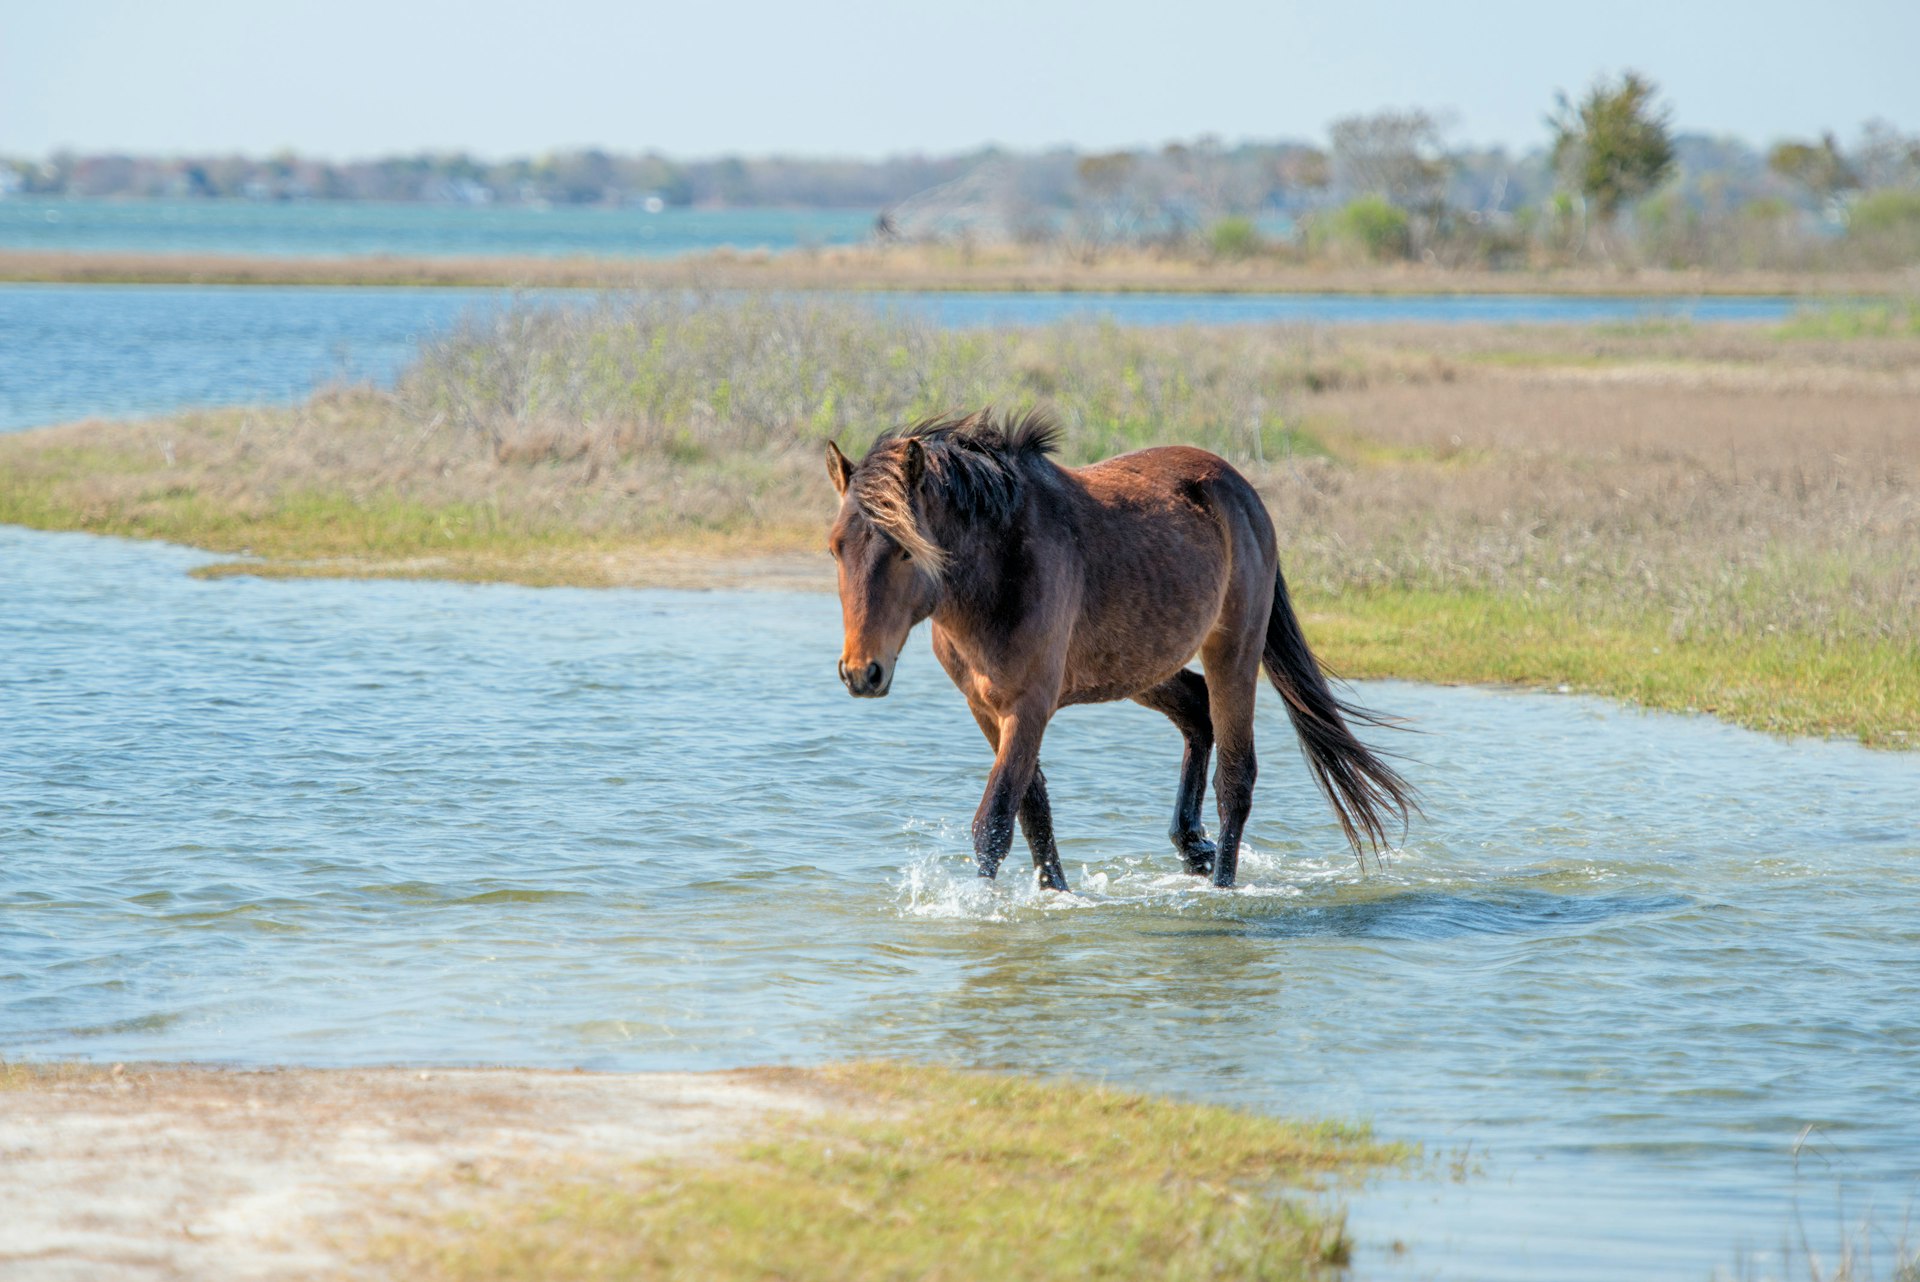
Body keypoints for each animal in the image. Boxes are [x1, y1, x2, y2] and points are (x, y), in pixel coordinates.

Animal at [821, 410, 1413, 890]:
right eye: (835, 548)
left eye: (904, 549)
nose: (861, 672)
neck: (1001, 565)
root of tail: (1243, 492)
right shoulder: (986, 708)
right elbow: (1033, 810)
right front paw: (1055, 893)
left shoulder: (1028, 706)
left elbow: (995, 821)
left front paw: (983, 907)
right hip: (1142, 666)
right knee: (1196, 714)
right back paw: (1191, 845)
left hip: (1234, 651)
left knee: (1236, 778)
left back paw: (1221, 885)